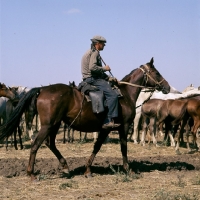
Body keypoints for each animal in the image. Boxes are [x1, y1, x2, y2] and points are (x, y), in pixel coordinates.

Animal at [0, 57, 170, 180]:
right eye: (157, 73)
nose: (167, 87)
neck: (125, 94)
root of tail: (42, 89)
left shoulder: (105, 129)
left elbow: (97, 146)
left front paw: (88, 170)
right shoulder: (124, 126)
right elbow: (123, 147)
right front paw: (128, 169)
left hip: (55, 124)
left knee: (50, 143)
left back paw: (65, 166)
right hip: (48, 125)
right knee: (36, 144)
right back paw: (31, 173)